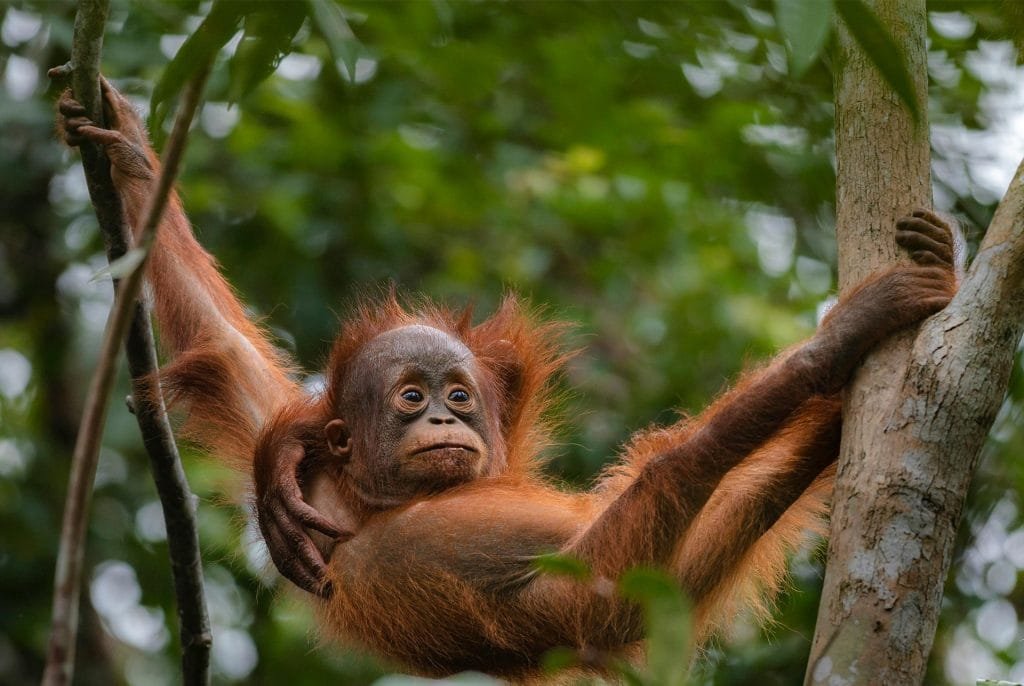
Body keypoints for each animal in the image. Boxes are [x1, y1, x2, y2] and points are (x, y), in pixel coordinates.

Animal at [58, 78, 958, 679]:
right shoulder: (416, 558)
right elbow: (605, 591)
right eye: (411, 398)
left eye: (457, 396)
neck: (366, 499)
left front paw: (129, 146)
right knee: (671, 487)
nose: (445, 422)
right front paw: (842, 336)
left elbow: (219, 341)